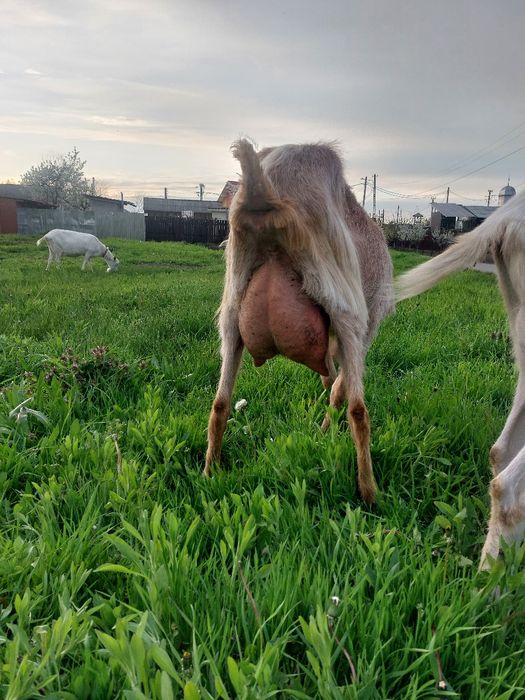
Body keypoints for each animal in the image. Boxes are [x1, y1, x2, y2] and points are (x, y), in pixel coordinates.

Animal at [205, 139, 394, 504]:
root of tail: (263, 190)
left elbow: (332, 380)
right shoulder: (364, 327)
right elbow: (340, 389)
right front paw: (325, 432)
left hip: (232, 308)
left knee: (220, 403)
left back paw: (209, 471)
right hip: (346, 308)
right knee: (358, 410)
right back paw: (369, 492)